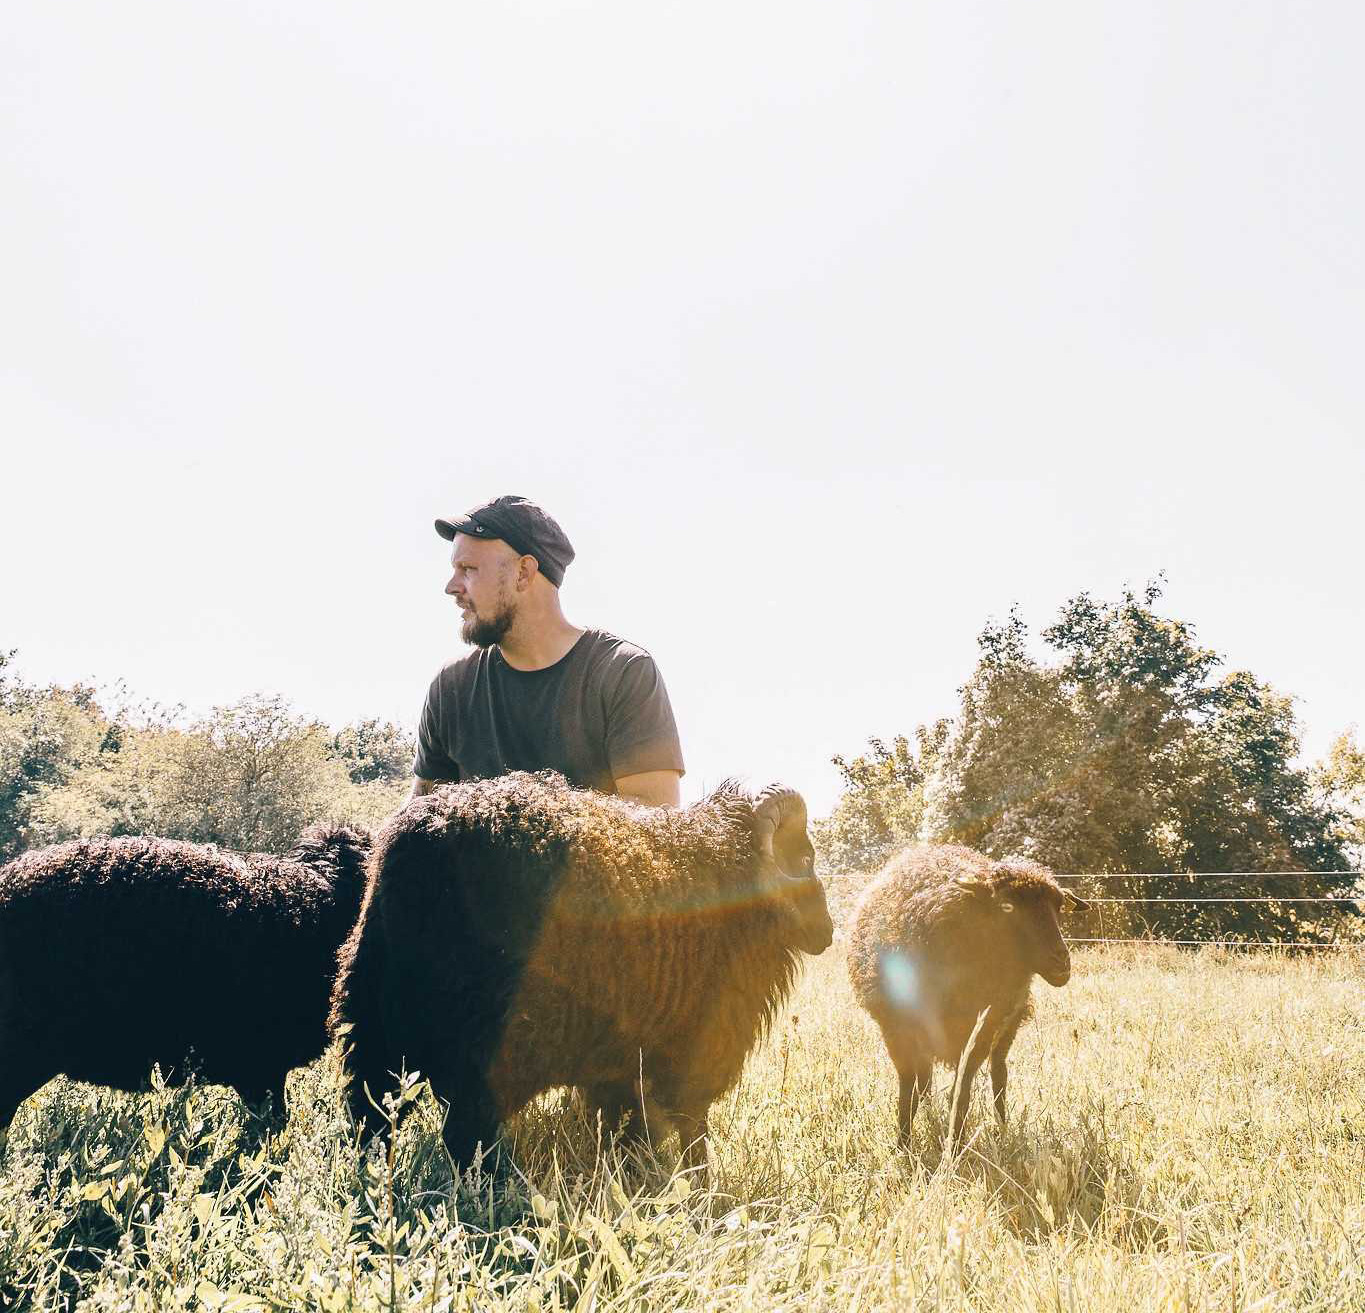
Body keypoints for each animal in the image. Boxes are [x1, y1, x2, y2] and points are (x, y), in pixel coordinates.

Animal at [327, 769, 829, 1168]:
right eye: (805, 859)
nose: (827, 931)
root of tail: (419, 848)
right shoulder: (696, 1046)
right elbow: (691, 1129)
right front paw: (700, 1189)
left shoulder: (622, 1062)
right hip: (481, 1049)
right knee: (465, 1137)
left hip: (373, 1030)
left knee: (371, 1122)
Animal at [846, 846, 1081, 1141]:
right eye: (1007, 906)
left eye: (1059, 907)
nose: (1062, 962)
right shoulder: (896, 1031)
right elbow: (907, 1093)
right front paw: (904, 1144)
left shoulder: (980, 1033)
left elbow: (961, 1095)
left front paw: (955, 1143)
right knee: (925, 1078)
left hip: (1007, 1025)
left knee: (999, 1074)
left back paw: (1002, 1127)